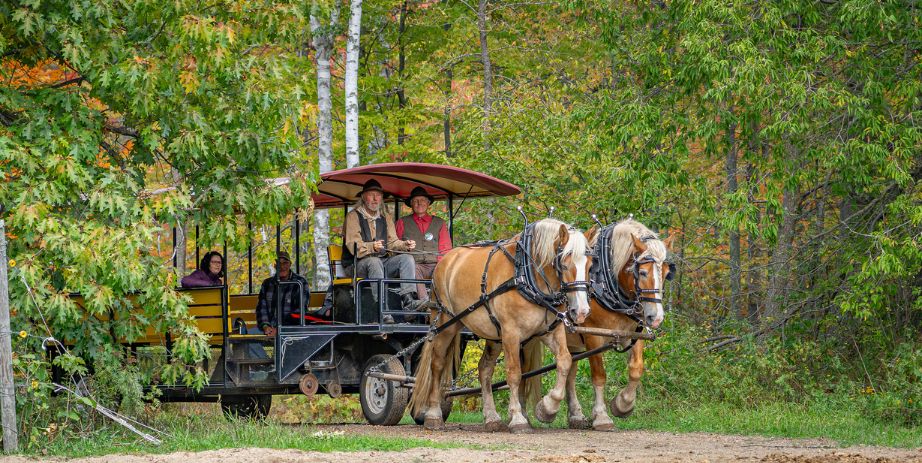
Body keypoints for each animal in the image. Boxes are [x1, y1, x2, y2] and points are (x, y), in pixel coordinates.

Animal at [408, 219, 592, 434]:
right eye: (564, 263)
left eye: (590, 265)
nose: (582, 311)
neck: (526, 276)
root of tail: (446, 259)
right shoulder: (511, 333)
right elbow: (514, 373)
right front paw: (519, 419)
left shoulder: (550, 331)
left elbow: (565, 361)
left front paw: (547, 408)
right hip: (445, 323)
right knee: (437, 364)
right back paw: (433, 415)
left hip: (493, 335)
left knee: (484, 369)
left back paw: (491, 418)